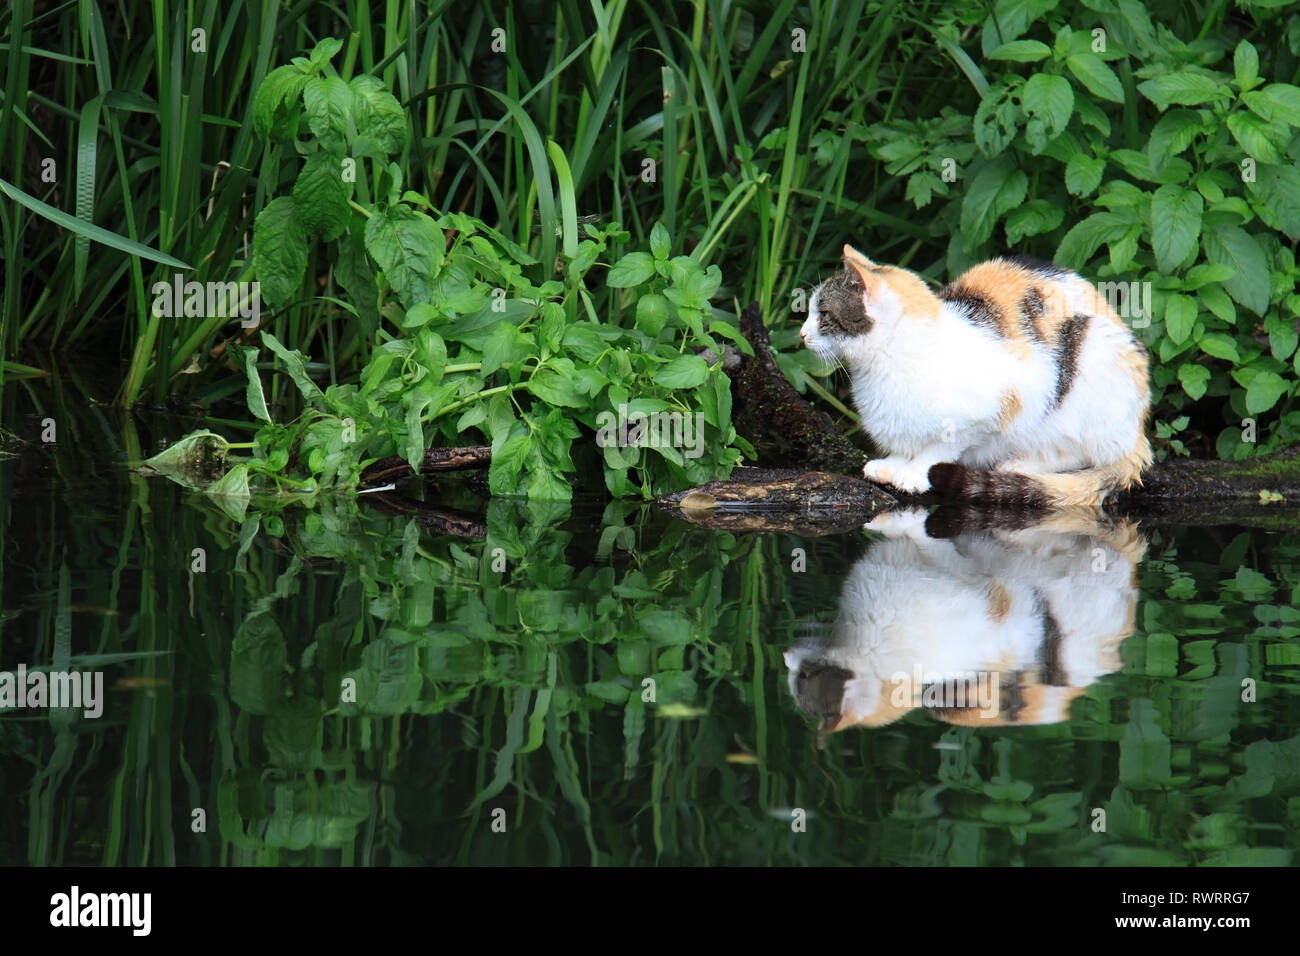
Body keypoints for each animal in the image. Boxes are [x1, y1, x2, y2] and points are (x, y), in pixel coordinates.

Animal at [795, 244, 1154, 509]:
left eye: (823, 315)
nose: (801, 334)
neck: (880, 366)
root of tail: (1138, 430)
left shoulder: (992, 409)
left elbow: (939, 449)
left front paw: (913, 473)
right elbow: (908, 442)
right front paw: (892, 464)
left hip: (1089, 366)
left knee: (1087, 453)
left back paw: (1019, 465)